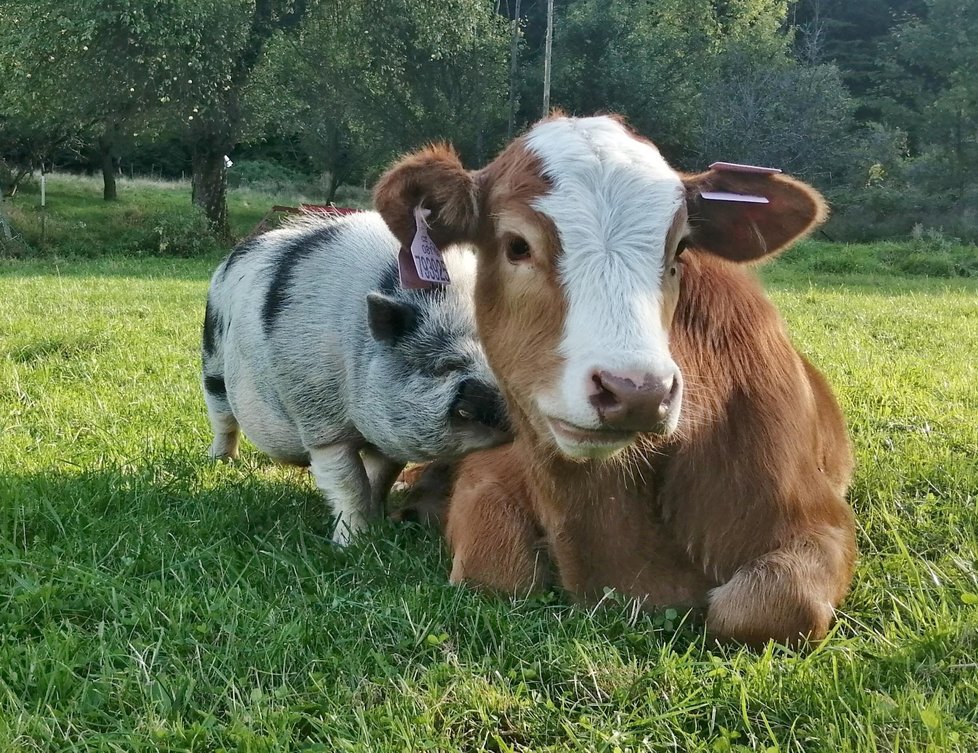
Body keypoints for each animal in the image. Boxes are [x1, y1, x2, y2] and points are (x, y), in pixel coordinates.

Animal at [374, 114, 856, 644]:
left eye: (680, 247)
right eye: (516, 245)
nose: (637, 393)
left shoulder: (822, 522)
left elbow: (768, 607)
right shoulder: (490, 474)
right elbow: (494, 574)